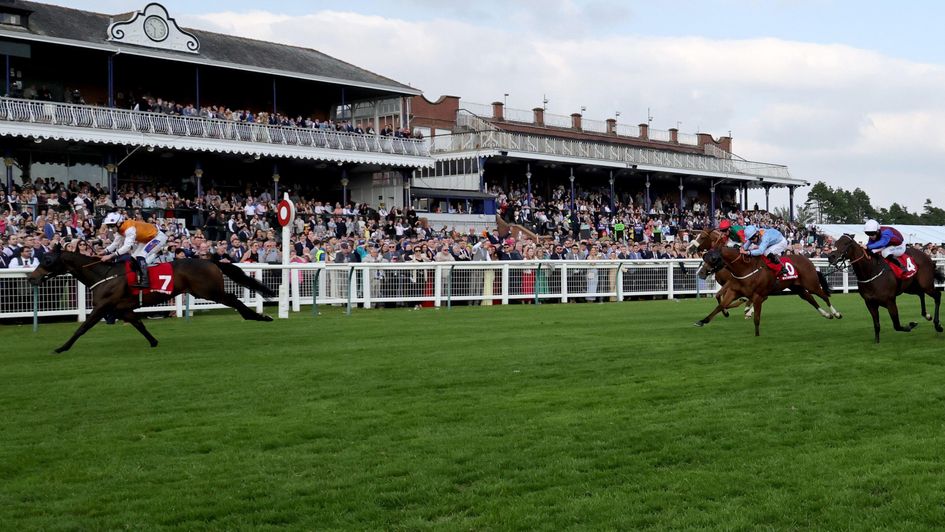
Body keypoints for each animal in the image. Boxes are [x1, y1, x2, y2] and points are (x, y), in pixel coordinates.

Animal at [25, 245, 274, 354]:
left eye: (48, 260)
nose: (31, 278)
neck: (103, 275)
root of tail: (211, 261)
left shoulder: (103, 306)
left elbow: (82, 328)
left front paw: (62, 347)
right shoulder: (122, 309)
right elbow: (139, 324)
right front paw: (154, 342)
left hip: (210, 292)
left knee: (235, 300)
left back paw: (259, 317)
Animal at [692, 243, 832, 334]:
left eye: (713, 258)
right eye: (704, 256)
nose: (701, 273)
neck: (745, 269)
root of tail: (807, 260)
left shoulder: (757, 295)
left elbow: (757, 318)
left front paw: (757, 335)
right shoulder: (733, 291)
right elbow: (720, 305)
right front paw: (703, 321)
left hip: (811, 284)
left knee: (824, 296)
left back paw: (835, 313)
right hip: (797, 288)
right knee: (809, 298)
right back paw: (826, 314)